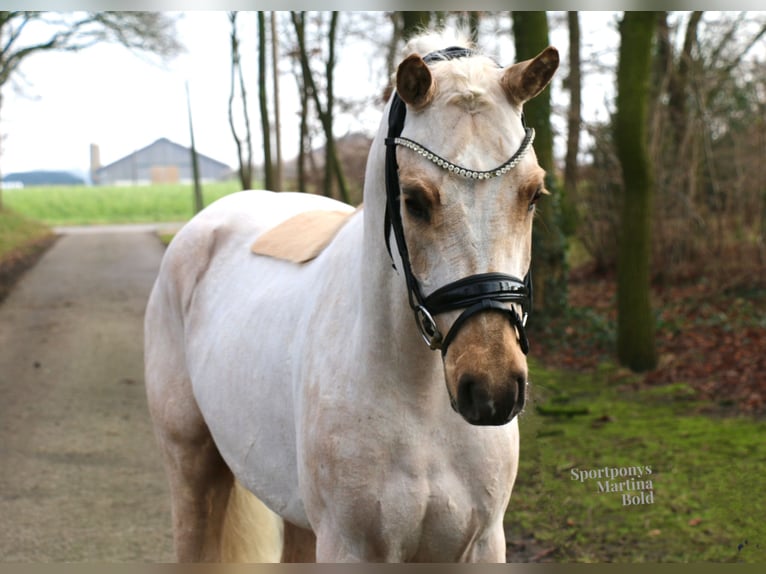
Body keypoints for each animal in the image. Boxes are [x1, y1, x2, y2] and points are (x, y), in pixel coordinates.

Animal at [146, 30, 560, 564]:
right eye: (414, 201)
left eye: (533, 195)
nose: (491, 390)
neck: (420, 403)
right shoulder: (350, 547)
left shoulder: (480, 545)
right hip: (191, 469)